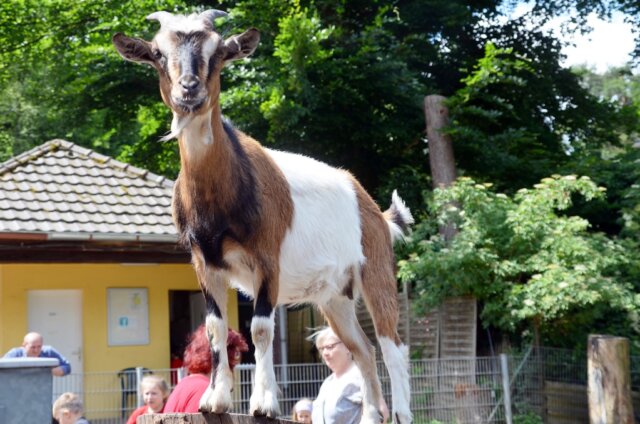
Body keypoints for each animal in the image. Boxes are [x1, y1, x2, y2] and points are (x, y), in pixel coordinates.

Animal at [113, 10, 413, 424]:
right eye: (158, 53)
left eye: (219, 52)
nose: (189, 89)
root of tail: (377, 213)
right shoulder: (203, 262)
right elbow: (215, 328)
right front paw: (215, 399)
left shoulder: (267, 261)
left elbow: (260, 328)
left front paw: (264, 403)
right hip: (335, 297)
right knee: (363, 350)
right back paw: (370, 416)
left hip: (376, 270)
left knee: (392, 346)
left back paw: (401, 412)